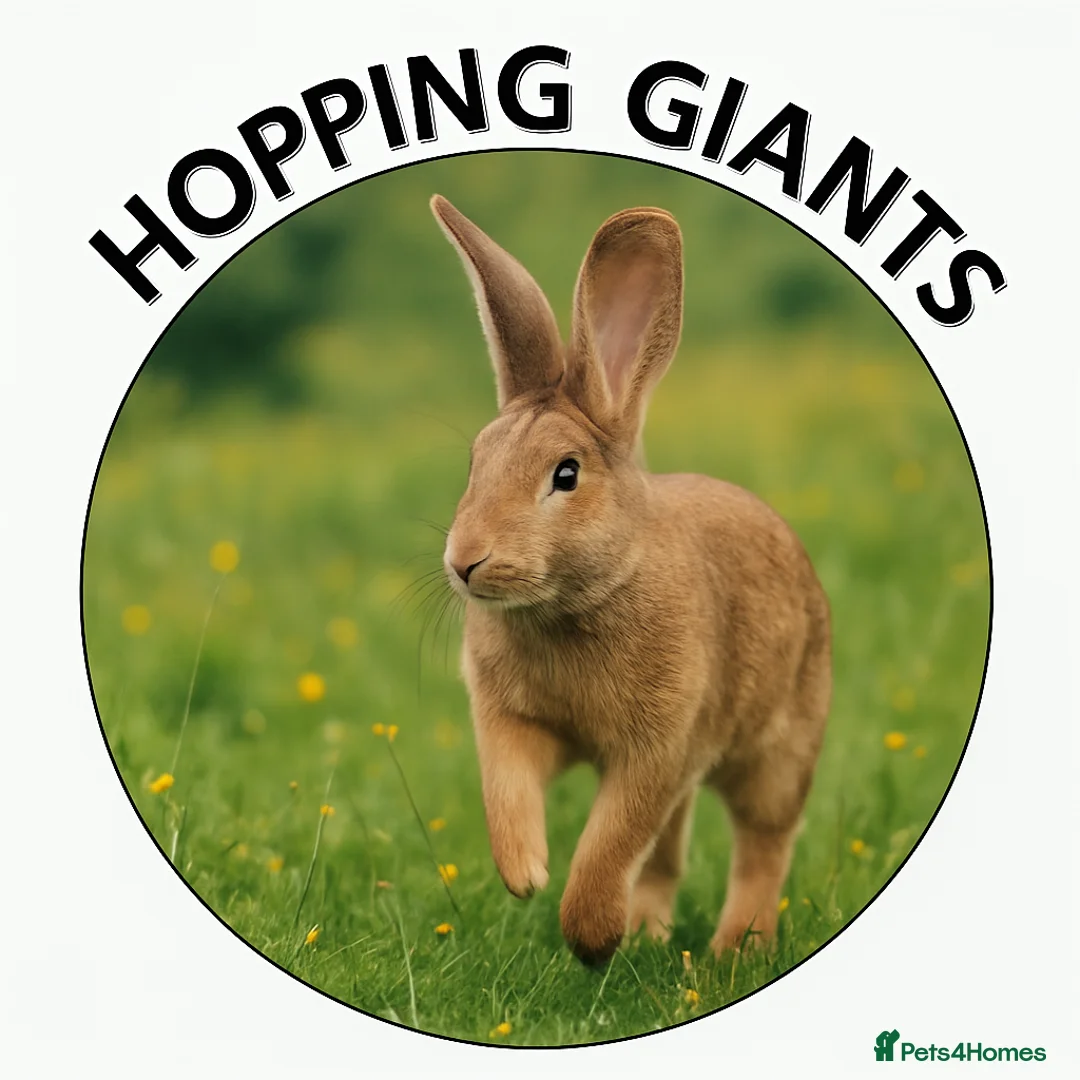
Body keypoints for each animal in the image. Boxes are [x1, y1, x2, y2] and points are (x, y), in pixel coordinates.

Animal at [431, 194, 831, 967]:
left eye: (566, 475)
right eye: (474, 462)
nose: (466, 561)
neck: (577, 600)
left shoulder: (661, 747)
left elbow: (613, 837)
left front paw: (589, 938)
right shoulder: (512, 723)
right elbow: (507, 792)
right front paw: (525, 874)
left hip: (779, 747)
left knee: (763, 845)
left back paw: (732, 950)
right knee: (672, 854)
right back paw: (650, 933)